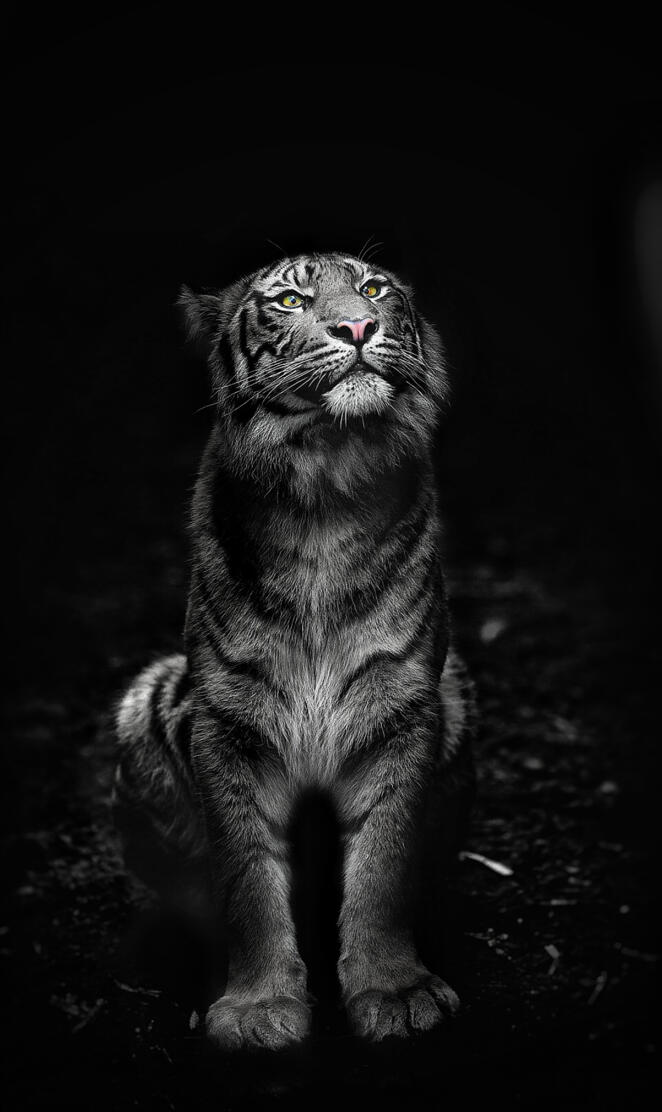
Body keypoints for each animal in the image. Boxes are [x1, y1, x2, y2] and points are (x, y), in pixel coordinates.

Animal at [112, 251, 475, 1050]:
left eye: (373, 289)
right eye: (289, 300)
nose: (359, 327)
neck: (327, 492)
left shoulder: (404, 708)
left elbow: (383, 867)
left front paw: (395, 993)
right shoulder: (227, 721)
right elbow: (247, 876)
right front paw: (256, 1009)